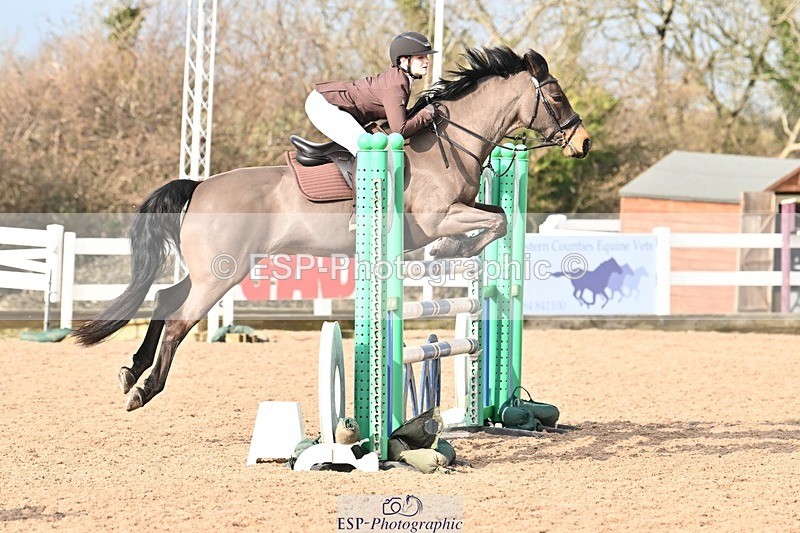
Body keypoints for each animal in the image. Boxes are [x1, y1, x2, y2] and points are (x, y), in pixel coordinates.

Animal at [74, 46, 592, 412]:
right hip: (222, 274)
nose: (584, 143)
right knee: (180, 319)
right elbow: (493, 220)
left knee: (165, 298)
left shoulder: (461, 205)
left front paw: (454, 251)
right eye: (557, 96)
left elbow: (497, 214)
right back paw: (144, 391)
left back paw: (132, 372)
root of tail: (199, 186)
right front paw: (450, 250)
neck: (453, 139)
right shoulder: (436, 215)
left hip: (212, 269)